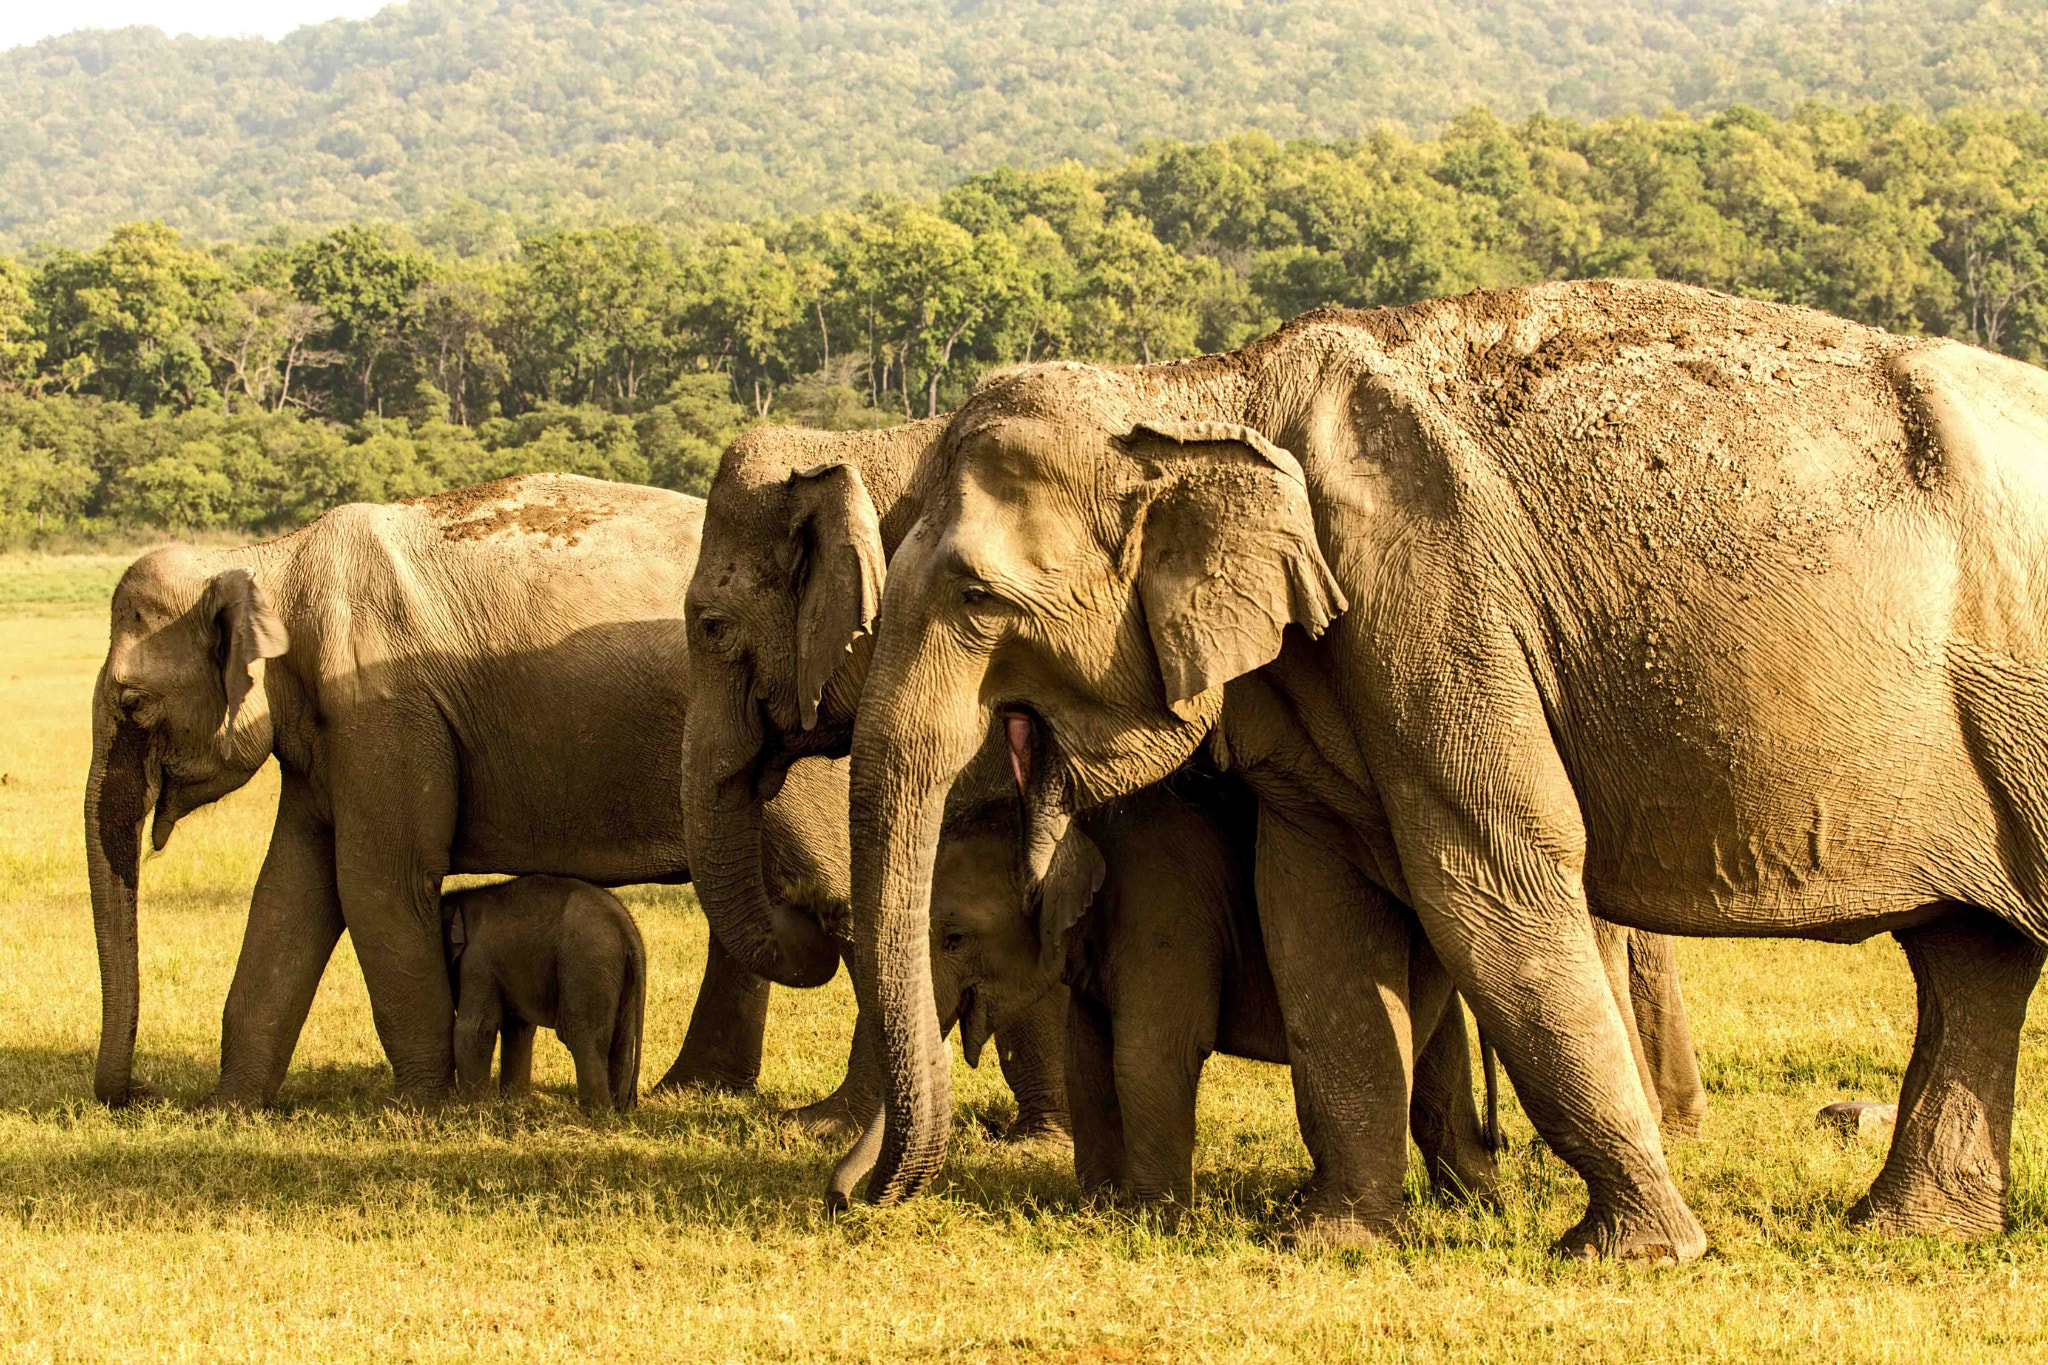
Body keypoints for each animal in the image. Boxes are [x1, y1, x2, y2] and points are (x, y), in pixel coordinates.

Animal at [444, 879, 643, 1113]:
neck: (462, 897)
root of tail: (628, 929)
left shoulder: (477, 961)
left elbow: (475, 1030)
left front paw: (472, 1109)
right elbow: (518, 1028)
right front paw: (514, 1103)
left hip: (587, 964)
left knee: (582, 1036)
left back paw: (597, 1115)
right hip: (620, 975)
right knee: (622, 1041)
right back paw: (620, 1111)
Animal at [831, 282, 2048, 1268]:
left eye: (976, 598)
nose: (853, 1200)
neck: (1208, 386)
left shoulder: (1434, 603)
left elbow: (1491, 882)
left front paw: (1633, 1254)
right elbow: (1316, 914)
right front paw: (1331, 1239)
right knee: (1972, 959)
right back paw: (1912, 1229)